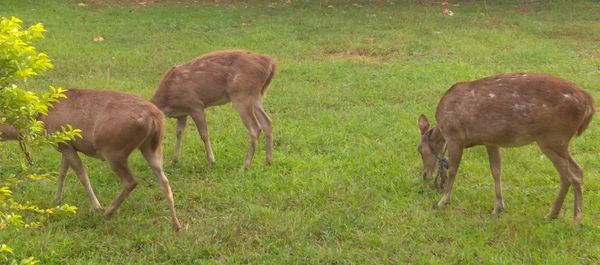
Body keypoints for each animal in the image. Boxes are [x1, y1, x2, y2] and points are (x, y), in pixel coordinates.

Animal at [1, 88, 182, 229]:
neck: (41, 118)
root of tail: (155, 118)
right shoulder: (66, 146)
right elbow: (62, 172)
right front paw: (56, 199)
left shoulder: (65, 143)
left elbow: (81, 174)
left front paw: (96, 207)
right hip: (152, 147)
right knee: (164, 180)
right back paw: (176, 225)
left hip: (114, 150)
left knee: (131, 181)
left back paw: (108, 212)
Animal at [418, 72, 596, 223]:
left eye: (419, 149)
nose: (425, 175)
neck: (442, 128)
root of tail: (589, 103)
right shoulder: (490, 141)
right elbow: (496, 171)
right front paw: (498, 208)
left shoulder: (455, 137)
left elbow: (452, 170)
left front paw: (441, 202)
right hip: (556, 141)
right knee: (569, 174)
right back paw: (552, 214)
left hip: (553, 137)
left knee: (575, 174)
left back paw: (576, 220)